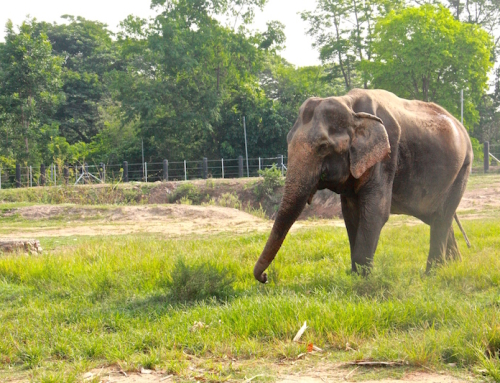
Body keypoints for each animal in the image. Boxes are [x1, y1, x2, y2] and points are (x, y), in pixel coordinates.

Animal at [254, 88, 472, 284]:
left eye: (323, 146)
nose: (265, 277)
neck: (350, 106)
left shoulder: (386, 157)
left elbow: (375, 212)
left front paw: (363, 281)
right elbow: (351, 214)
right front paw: (355, 276)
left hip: (463, 169)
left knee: (442, 218)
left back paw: (431, 275)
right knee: (436, 217)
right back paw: (454, 265)